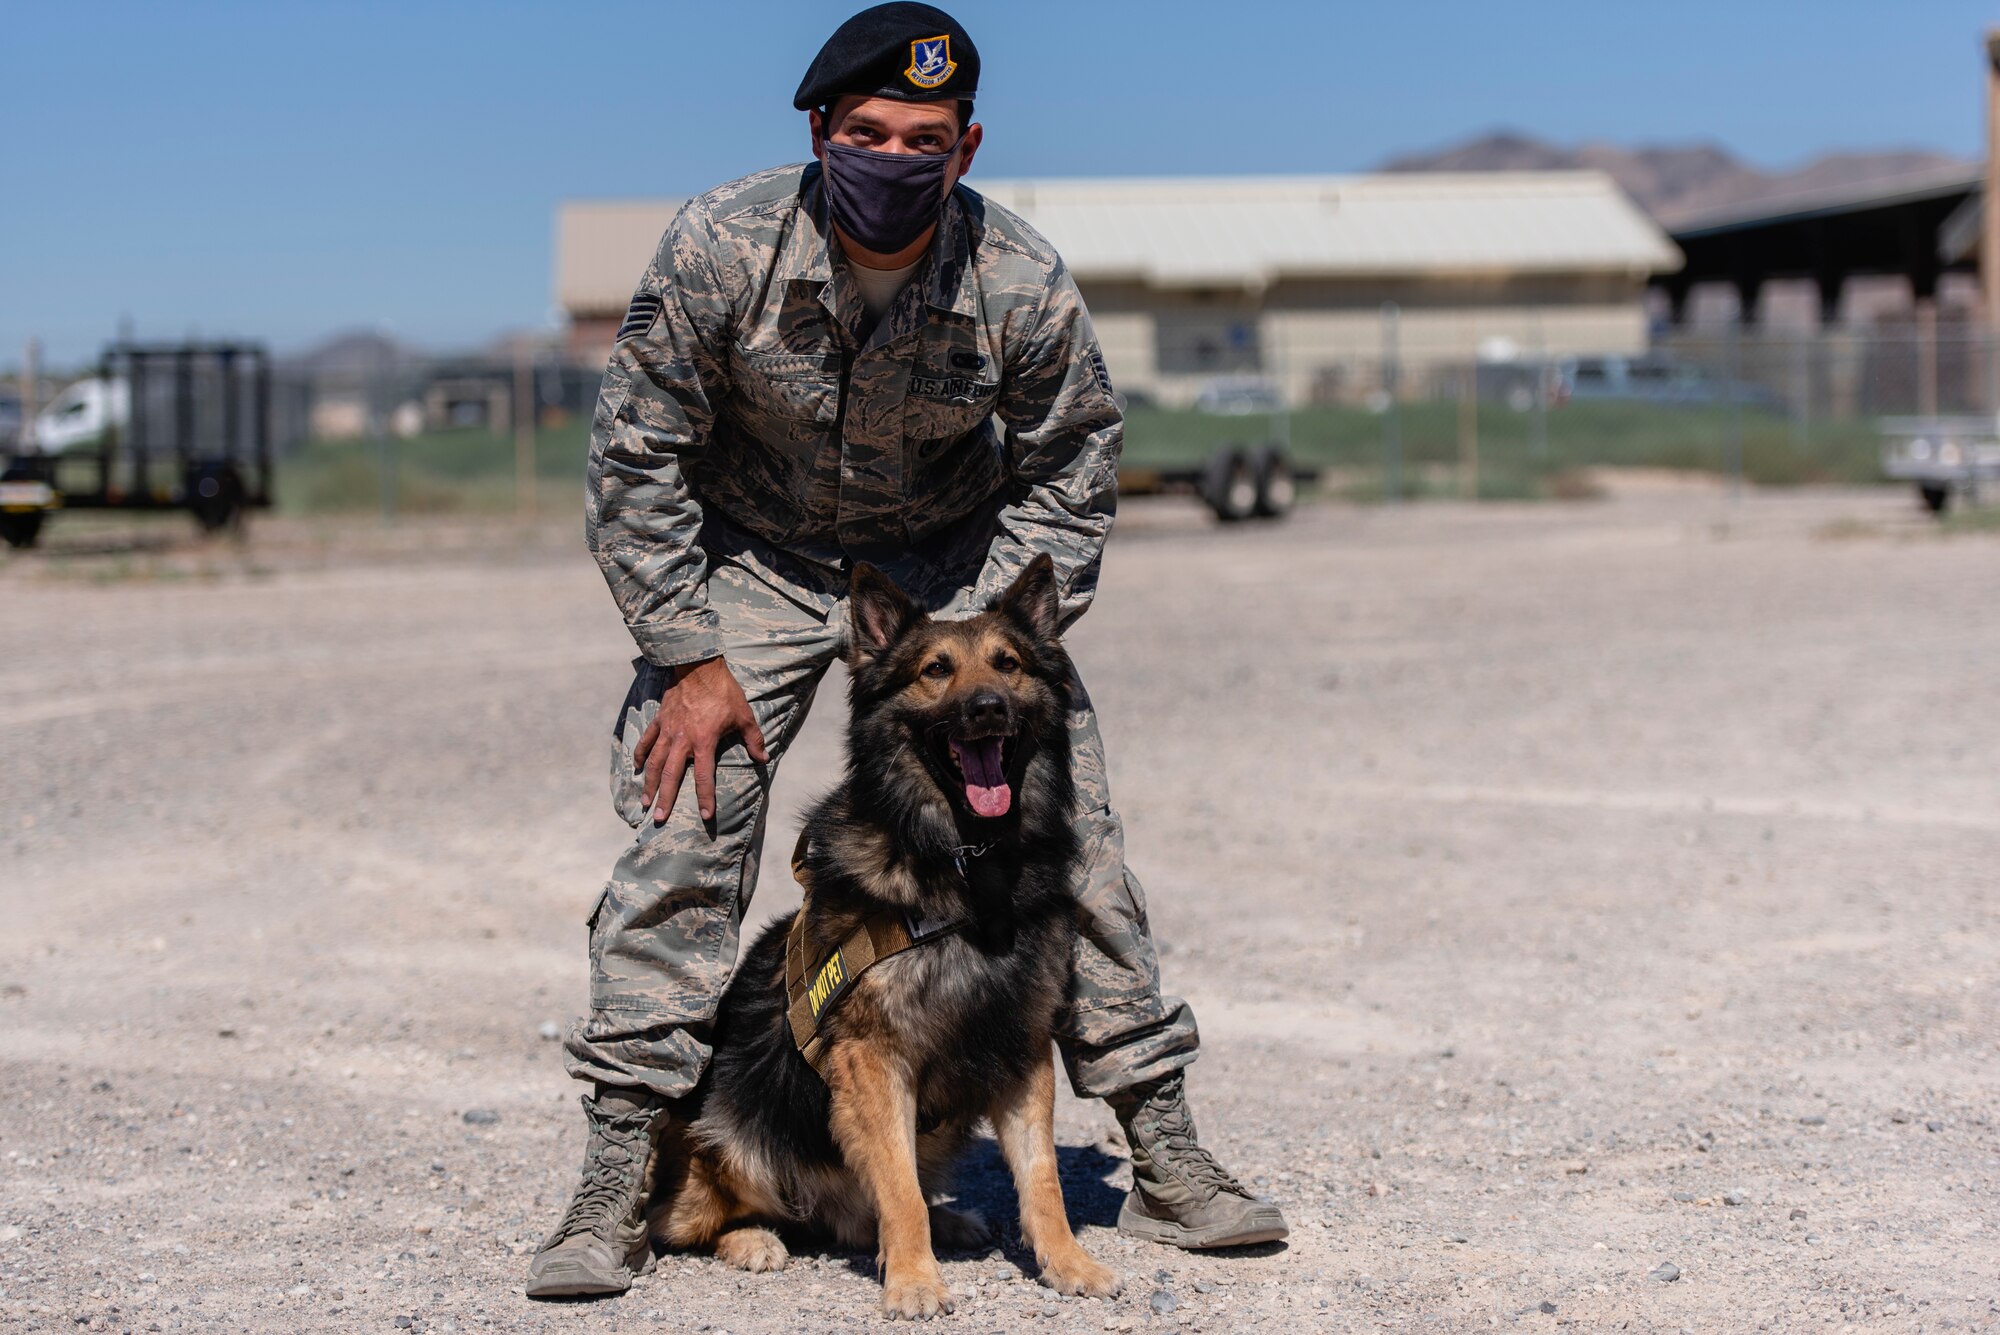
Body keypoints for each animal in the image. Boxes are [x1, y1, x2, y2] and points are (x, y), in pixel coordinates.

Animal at [656, 551, 1128, 1311]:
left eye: (1008, 664)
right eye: (936, 669)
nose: (987, 708)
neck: (967, 866)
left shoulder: (1022, 1049)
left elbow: (1043, 1178)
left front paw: (1068, 1263)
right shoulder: (872, 1061)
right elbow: (899, 1190)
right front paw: (913, 1280)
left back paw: (947, 1220)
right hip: (728, 1132)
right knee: (689, 1220)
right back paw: (755, 1239)